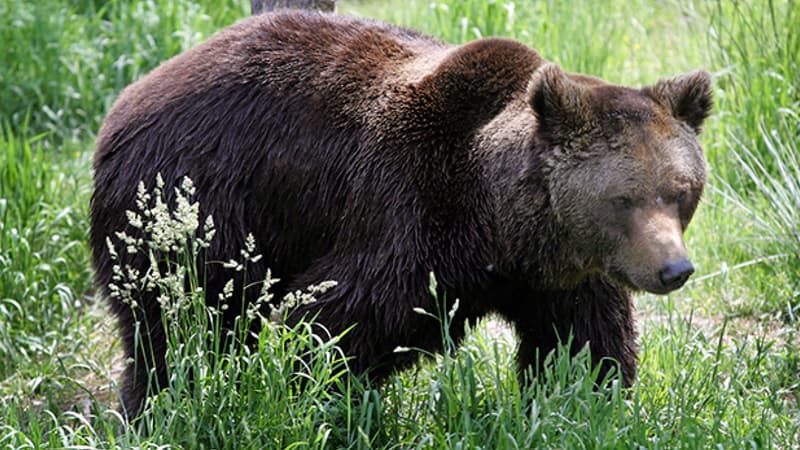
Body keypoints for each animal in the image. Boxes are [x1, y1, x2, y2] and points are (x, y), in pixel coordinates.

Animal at [92, 10, 712, 418]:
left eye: (680, 191)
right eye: (624, 198)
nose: (674, 269)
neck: (497, 225)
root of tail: (137, 89)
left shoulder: (564, 275)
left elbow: (583, 346)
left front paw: (581, 403)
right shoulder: (408, 216)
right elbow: (331, 325)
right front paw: (321, 402)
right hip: (192, 202)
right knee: (179, 321)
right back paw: (159, 404)